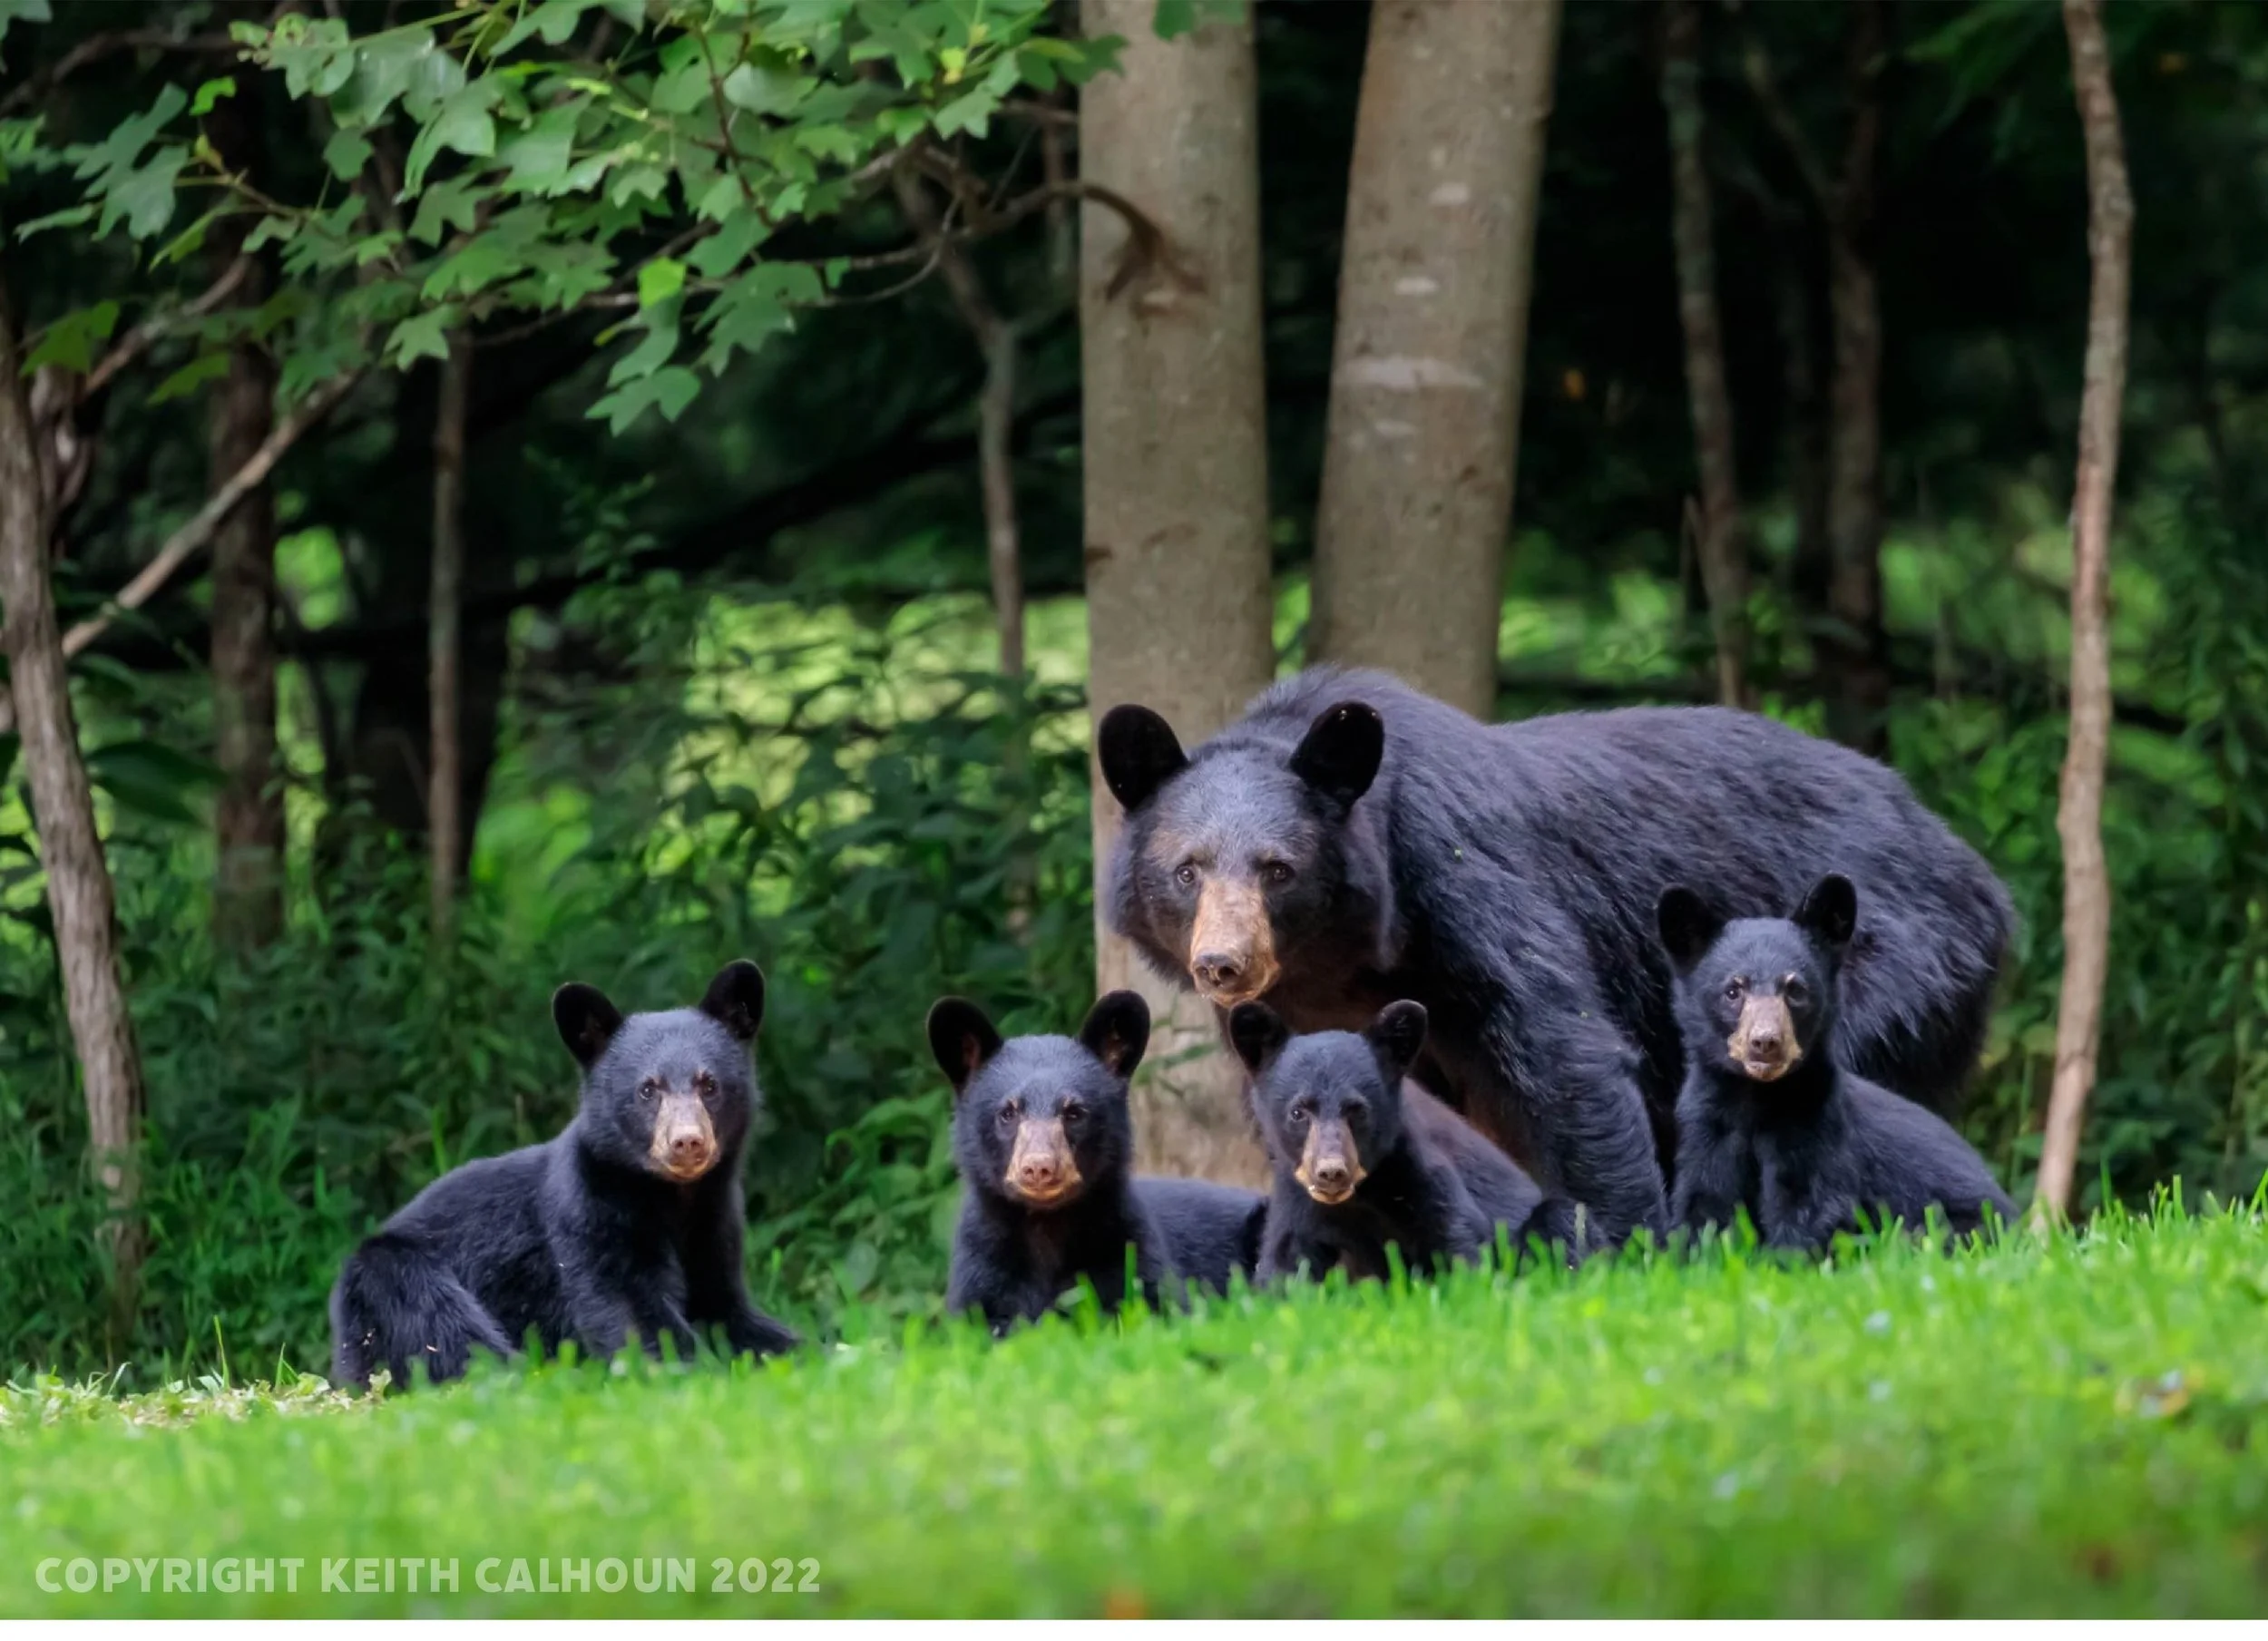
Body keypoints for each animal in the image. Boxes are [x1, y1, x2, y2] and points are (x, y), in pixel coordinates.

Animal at [329, 960, 799, 1389]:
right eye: (648, 1089)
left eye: (709, 1085)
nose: (687, 1142)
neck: (671, 1196)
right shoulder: (589, 1211)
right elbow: (629, 1307)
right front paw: (689, 1368)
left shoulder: (714, 1221)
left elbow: (725, 1307)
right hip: (386, 1279)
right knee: (444, 1328)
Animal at [928, 990, 1266, 1332]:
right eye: (1008, 1112)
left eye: (1074, 1112)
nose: (1039, 1167)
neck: (1046, 1226)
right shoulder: (980, 1263)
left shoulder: (1126, 1243)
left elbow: (1157, 1302)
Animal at [1228, 999, 1587, 1282]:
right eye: (1299, 1111)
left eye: (1357, 1110)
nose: (1331, 1172)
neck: (1360, 1196)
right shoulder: (1296, 1197)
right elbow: (1285, 1263)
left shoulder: (1417, 1170)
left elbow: (1458, 1234)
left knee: (1563, 1220)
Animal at [1657, 873, 2018, 1249]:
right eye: (1733, 990)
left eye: (1795, 989)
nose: (1765, 1042)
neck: (1755, 1098)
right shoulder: (1708, 1128)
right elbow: (1705, 1203)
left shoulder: (1816, 1123)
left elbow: (1810, 1207)